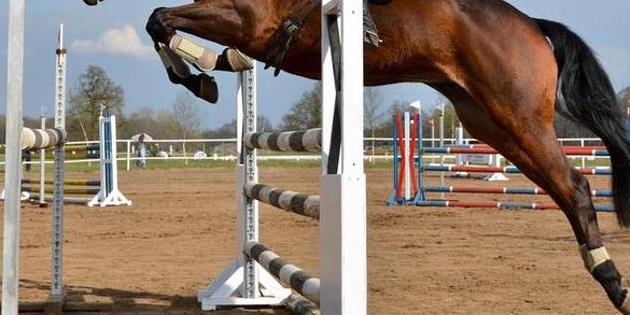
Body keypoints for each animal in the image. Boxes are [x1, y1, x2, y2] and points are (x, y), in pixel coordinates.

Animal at [87, 0, 630, 314]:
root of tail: (533, 26)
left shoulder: (251, 18)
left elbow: (162, 17)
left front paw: (198, 76)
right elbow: (170, 25)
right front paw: (208, 72)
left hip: (516, 116)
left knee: (576, 187)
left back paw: (613, 282)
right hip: (490, 123)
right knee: (563, 189)